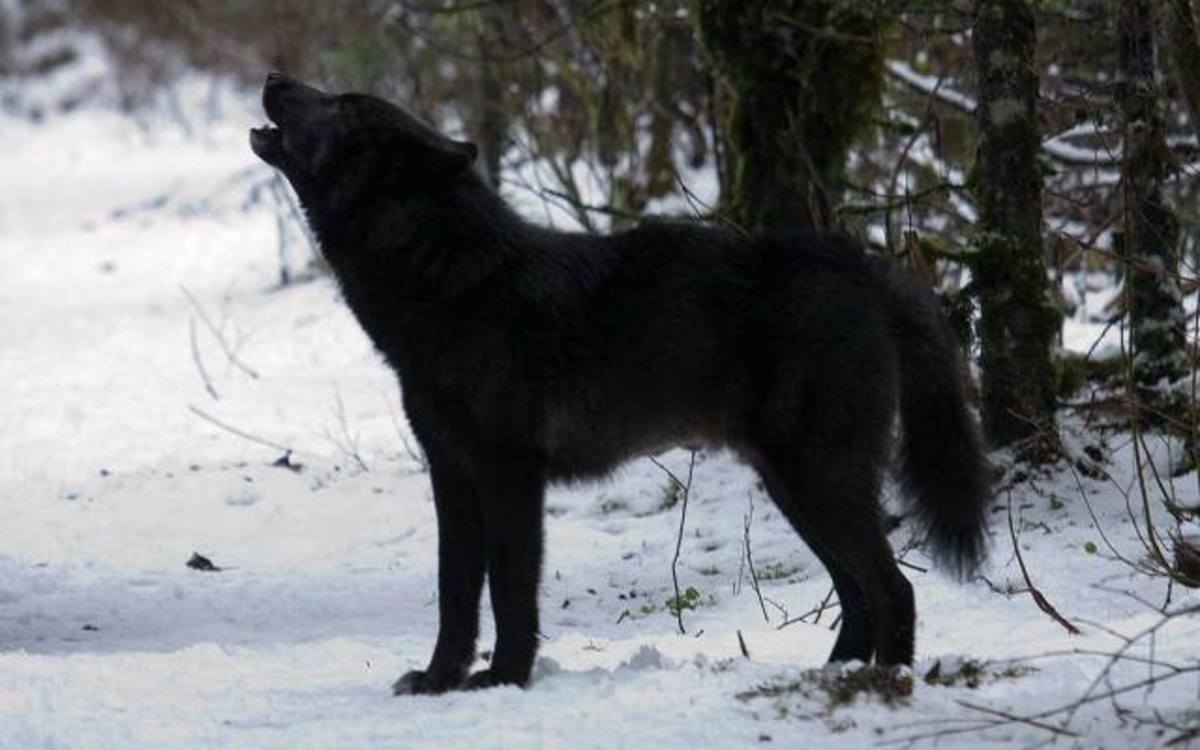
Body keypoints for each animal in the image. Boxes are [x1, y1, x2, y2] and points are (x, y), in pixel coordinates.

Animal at [248, 73, 988, 691]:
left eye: (343, 105)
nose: (274, 78)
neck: (454, 280)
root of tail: (860, 266)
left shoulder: (510, 475)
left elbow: (509, 592)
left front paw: (504, 680)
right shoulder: (452, 475)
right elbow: (455, 593)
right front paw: (437, 682)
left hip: (817, 480)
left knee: (893, 590)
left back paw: (884, 686)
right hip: (792, 486)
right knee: (859, 593)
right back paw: (833, 679)